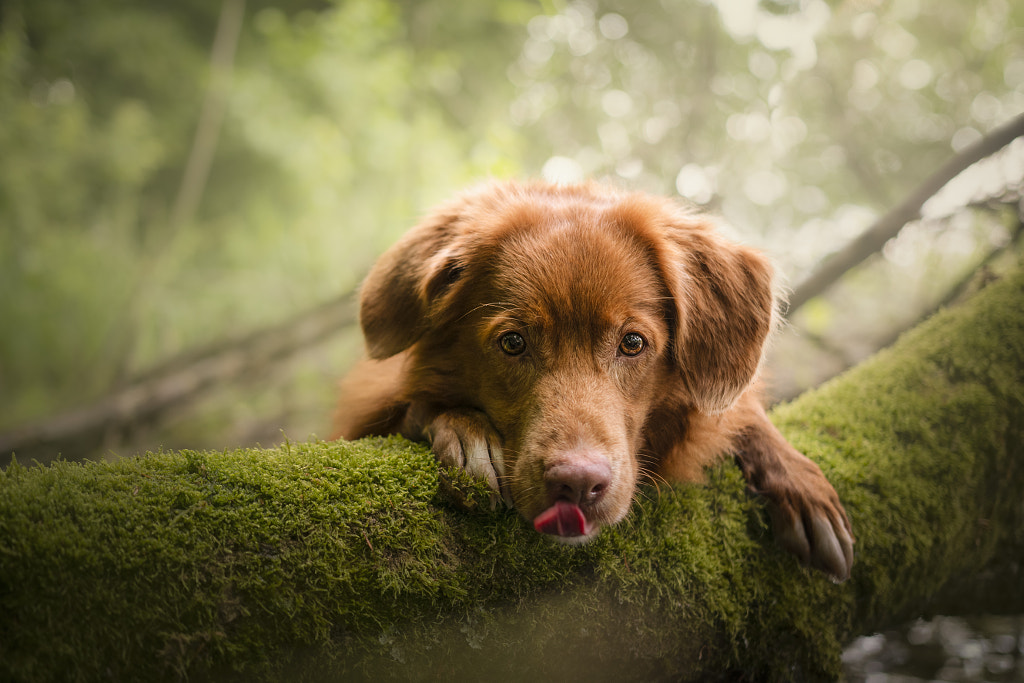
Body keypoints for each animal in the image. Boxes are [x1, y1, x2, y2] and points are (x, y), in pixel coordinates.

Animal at [335, 180, 856, 581]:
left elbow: (738, 413)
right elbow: (417, 407)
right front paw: (467, 431)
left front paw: (798, 482)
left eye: (633, 343)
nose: (578, 484)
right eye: (512, 342)